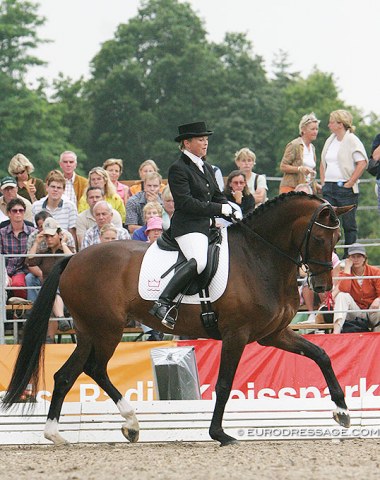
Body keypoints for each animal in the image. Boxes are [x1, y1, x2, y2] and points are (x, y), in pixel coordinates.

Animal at [2, 192, 354, 446]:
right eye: (320, 238)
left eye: (337, 240)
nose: (322, 287)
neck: (259, 257)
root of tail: (73, 258)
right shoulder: (237, 334)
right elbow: (224, 384)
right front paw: (220, 434)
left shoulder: (274, 333)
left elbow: (321, 355)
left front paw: (342, 411)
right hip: (107, 330)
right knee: (94, 368)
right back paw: (128, 423)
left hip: (90, 331)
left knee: (67, 375)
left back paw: (60, 433)